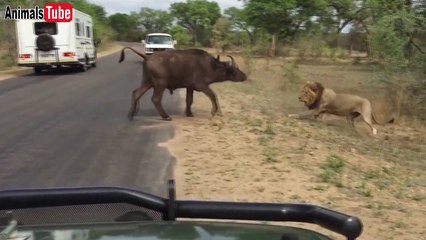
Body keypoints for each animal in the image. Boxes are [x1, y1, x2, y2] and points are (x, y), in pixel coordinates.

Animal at [118, 47, 248, 121]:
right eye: (235, 70)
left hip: (148, 82)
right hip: (160, 84)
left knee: (136, 93)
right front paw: (215, 112)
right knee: (155, 99)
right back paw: (166, 116)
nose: (245, 76)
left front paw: (189, 113)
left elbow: (189, 100)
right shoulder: (202, 86)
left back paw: (131, 114)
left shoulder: (190, 87)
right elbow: (213, 96)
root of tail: (147, 57)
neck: (211, 66)